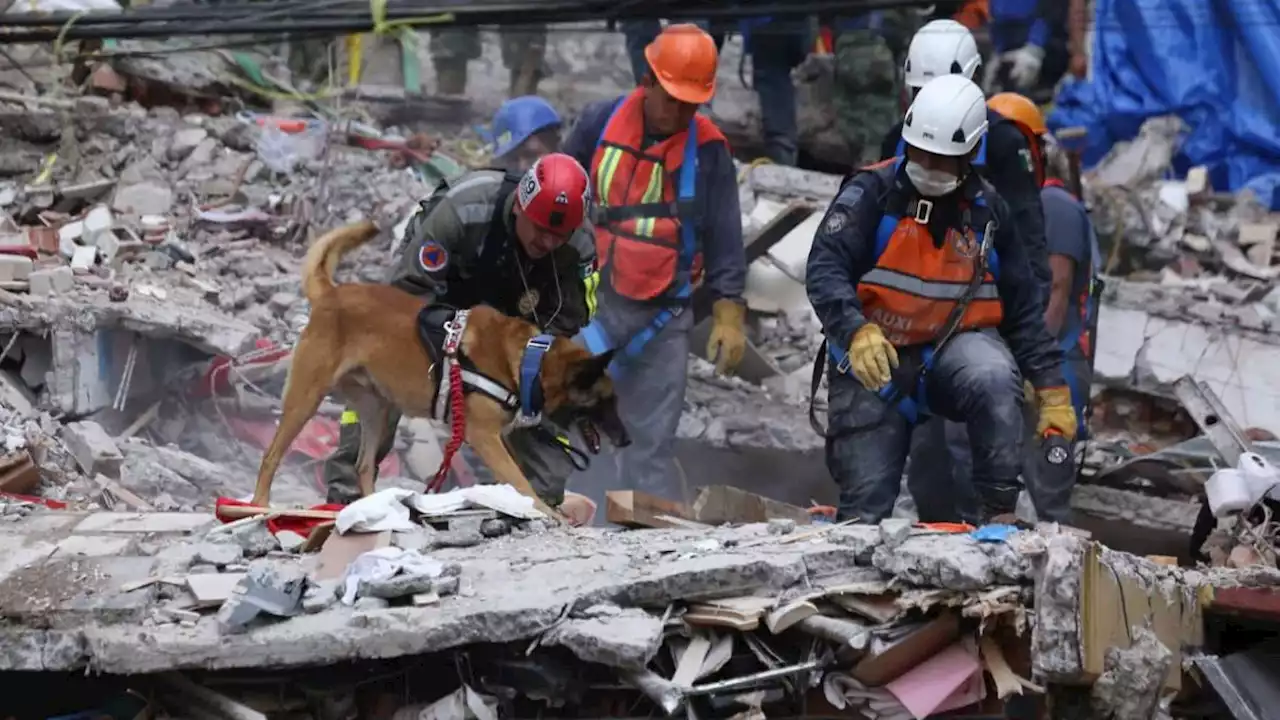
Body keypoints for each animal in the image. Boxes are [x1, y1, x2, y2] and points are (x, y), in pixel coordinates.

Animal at [249, 220, 629, 520]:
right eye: (605, 401)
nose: (626, 441)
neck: (530, 362)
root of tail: (332, 293)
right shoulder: (484, 437)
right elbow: (520, 481)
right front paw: (545, 511)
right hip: (306, 399)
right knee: (270, 455)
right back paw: (260, 505)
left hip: (376, 409)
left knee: (363, 465)